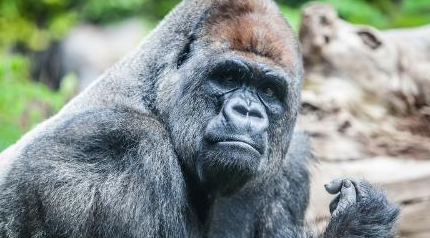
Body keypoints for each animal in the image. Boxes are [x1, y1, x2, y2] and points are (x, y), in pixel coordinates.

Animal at [0, 0, 398, 237]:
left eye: (268, 90)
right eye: (228, 77)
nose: (248, 112)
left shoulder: (289, 162)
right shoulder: (115, 146)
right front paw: (359, 224)